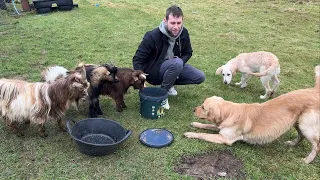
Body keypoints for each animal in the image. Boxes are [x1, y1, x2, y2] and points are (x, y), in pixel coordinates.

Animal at [185, 65, 320, 165]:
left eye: (203, 107)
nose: (193, 109)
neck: (230, 112)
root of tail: (314, 90)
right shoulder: (221, 127)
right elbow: (207, 126)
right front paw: (195, 124)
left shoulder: (225, 138)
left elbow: (203, 135)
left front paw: (190, 133)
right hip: (298, 123)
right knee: (301, 136)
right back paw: (291, 144)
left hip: (306, 126)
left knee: (316, 145)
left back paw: (307, 160)